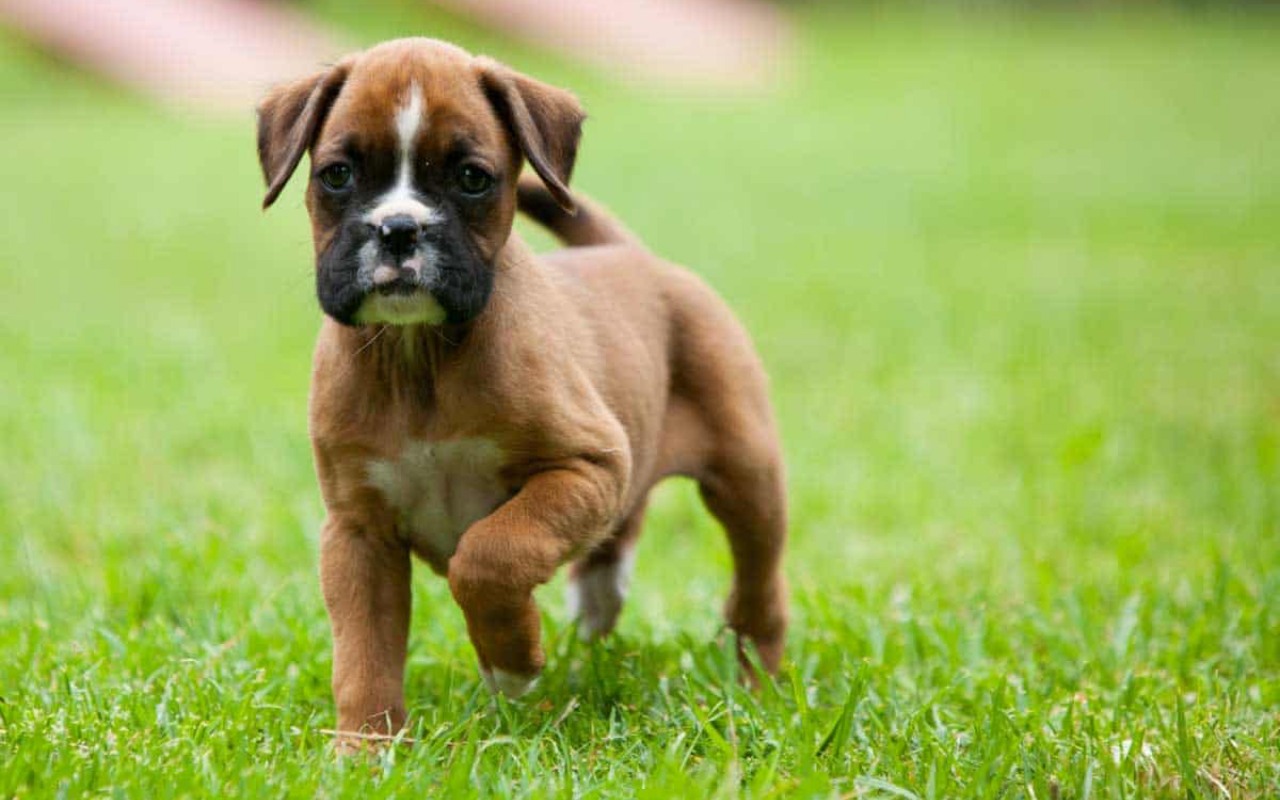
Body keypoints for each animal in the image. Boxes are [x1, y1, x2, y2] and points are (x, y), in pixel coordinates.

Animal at [254, 39, 783, 742]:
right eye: (337, 175)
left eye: (472, 178)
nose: (399, 228)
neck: (419, 357)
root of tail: (633, 256)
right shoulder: (358, 533)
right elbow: (363, 652)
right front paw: (367, 745)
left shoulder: (586, 468)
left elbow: (490, 554)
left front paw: (510, 662)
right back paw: (599, 599)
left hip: (747, 478)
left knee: (758, 586)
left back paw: (758, 679)